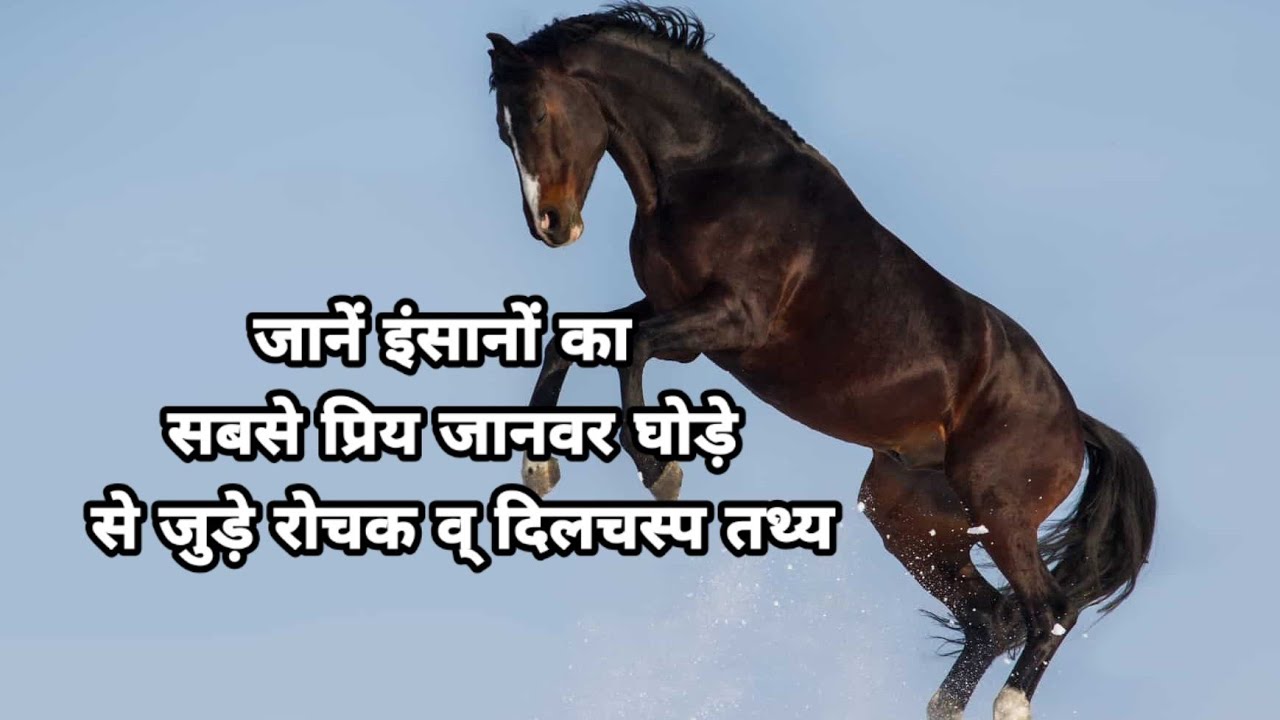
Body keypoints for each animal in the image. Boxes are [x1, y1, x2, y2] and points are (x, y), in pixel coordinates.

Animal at [484, 4, 1156, 718]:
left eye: (538, 115)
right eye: (503, 129)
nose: (551, 225)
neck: (712, 174)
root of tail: (1075, 422)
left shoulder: (730, 321)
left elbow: (629, 351)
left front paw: (660, 472)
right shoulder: (680, 320)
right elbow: (570, 341)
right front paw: (539, 470)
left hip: (1000, 510)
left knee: (1047, 612)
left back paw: (1011, 704)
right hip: (911, 520)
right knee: (990, 618)